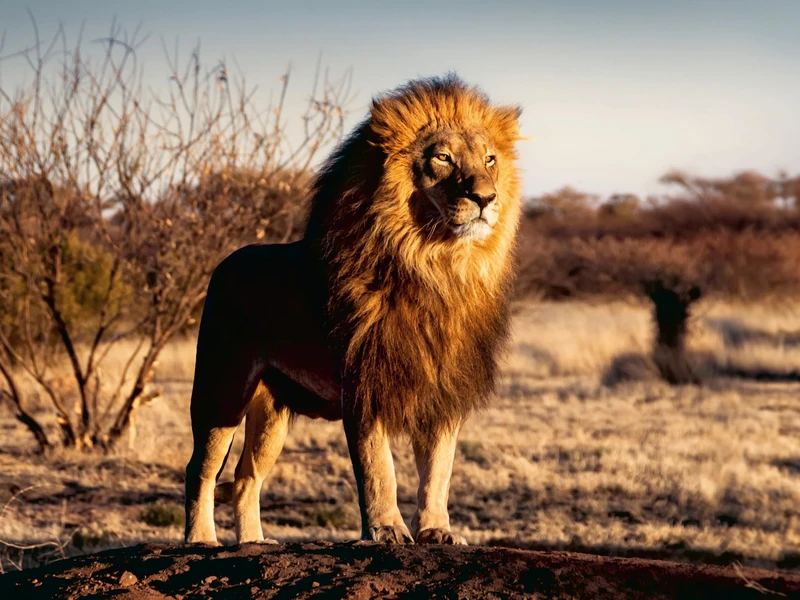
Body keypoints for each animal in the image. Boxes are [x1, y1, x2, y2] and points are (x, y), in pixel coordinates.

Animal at [184, 75, 523, 546]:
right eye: (442, 158)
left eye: (490, 160)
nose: (486, 197)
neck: (436, 268)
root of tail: (225, 262)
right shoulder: (364, 383)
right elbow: (379, 468)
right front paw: (386, 530)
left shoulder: (443, 389)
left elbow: (439, 470)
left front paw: (436, 531)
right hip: (222, 390)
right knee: (200, 469)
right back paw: (200, 539)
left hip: (271, 413)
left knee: (246, 477)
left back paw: (253, 542)